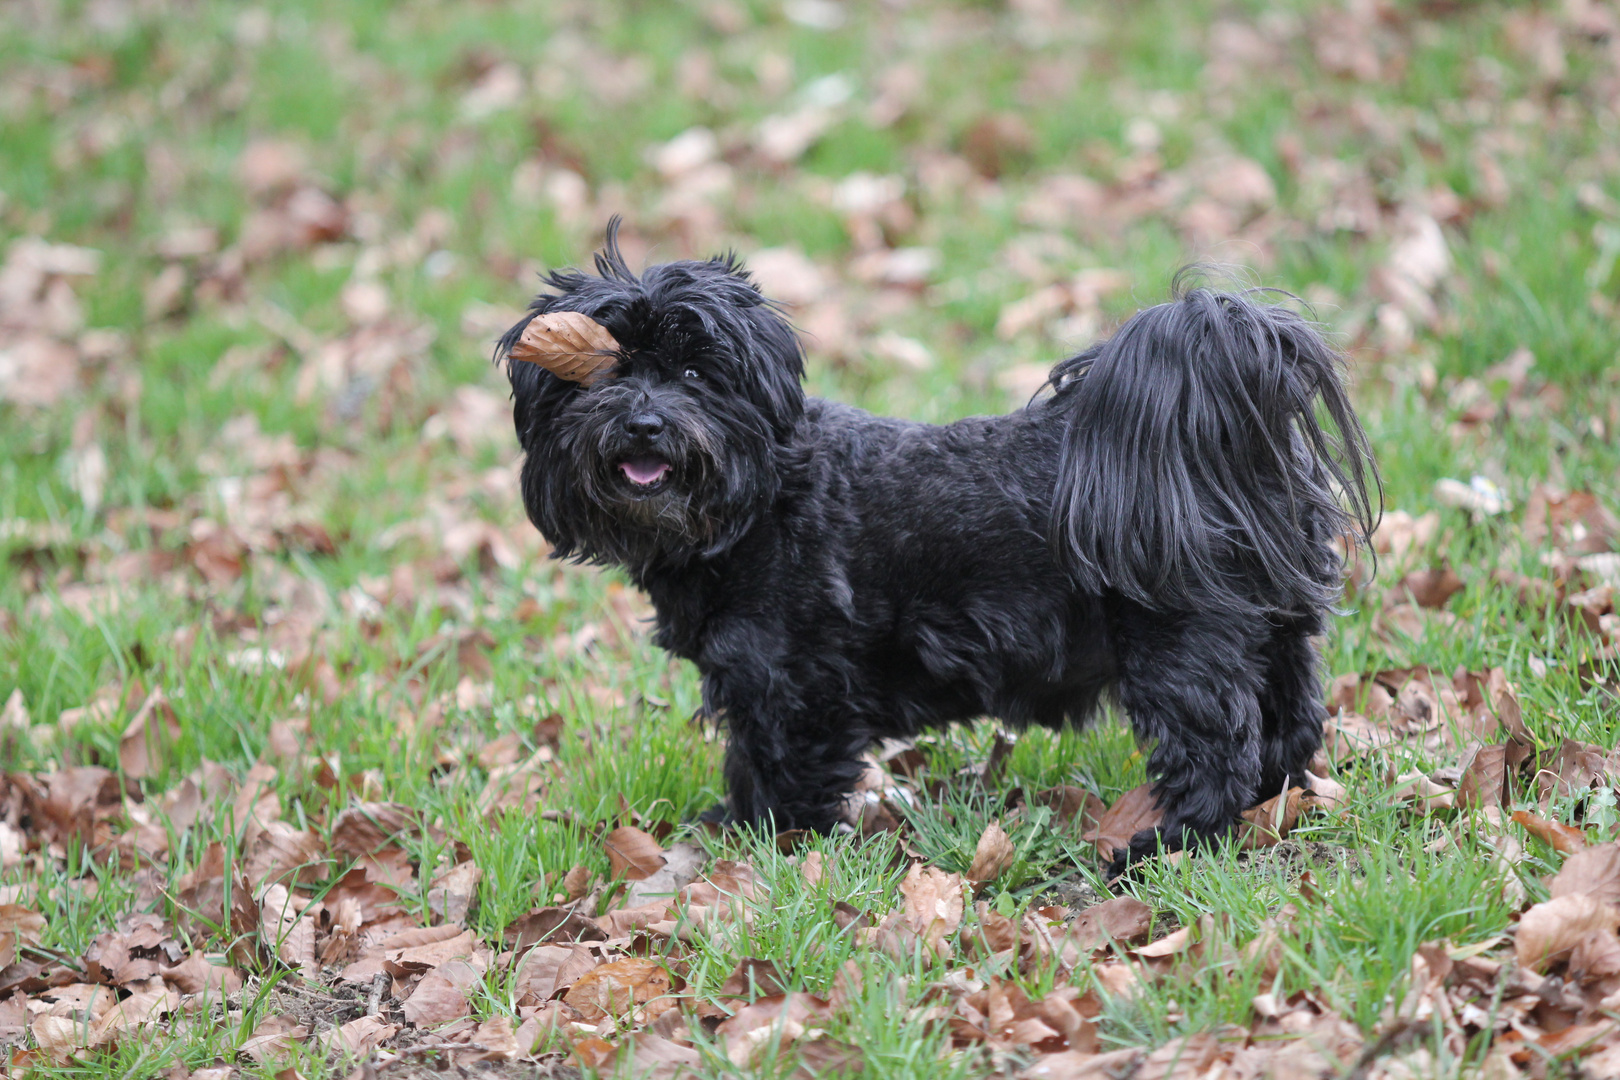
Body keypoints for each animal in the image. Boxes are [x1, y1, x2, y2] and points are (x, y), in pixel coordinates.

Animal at [498, 233, 1373, 874]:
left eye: (691, 371)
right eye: (600, 375)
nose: (643, 423)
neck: (758, 502)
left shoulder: (797, 689)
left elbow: (786, 779)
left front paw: (776, 855)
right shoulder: (752, 689)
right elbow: (748, 767)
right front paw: (733, 829)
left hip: (1179, 649)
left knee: (1216, 754)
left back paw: (1163, 851)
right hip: (1277, 632)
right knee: (1287, 729)